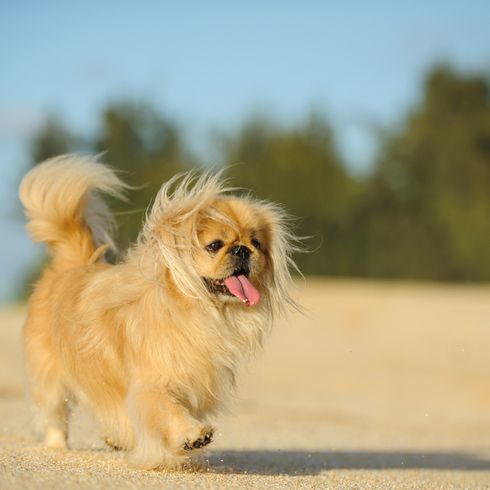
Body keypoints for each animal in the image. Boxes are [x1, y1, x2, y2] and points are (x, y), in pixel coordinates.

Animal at [18, 155, 298, 468]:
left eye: (256, 243)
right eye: (215, 245)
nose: (241, 250)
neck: (197, 311)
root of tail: (71, 264)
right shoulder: (152, 386)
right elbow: (167, 410)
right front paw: (192, 436)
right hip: (50, 379)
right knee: (55, 417)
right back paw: (58, 448)